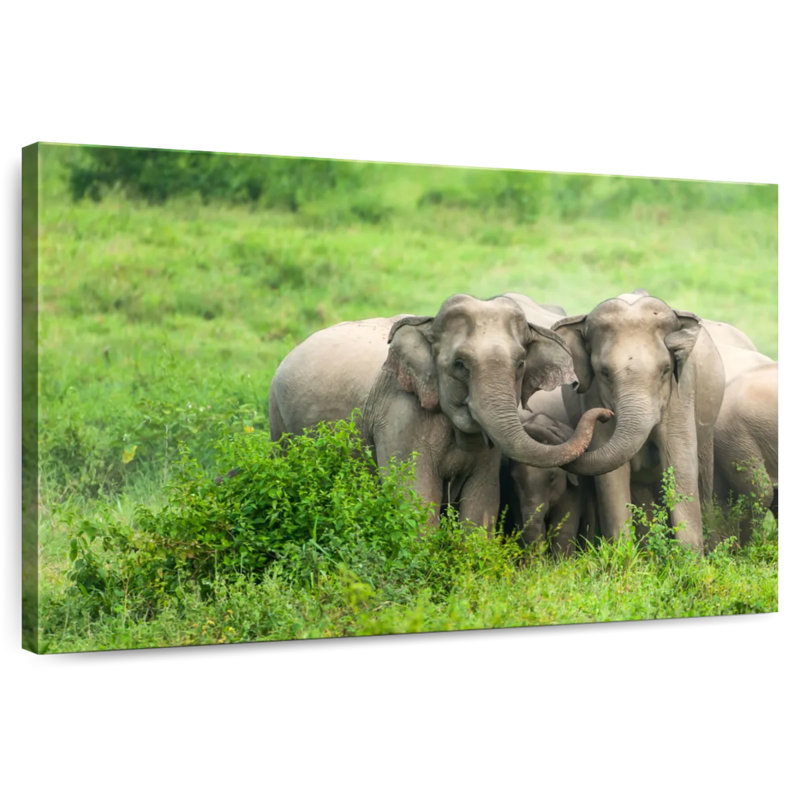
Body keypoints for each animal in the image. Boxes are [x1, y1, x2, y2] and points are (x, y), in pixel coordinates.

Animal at [269, 294, 612, 528]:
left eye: (520, 364)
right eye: (460, 365)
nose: (605, 415)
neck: (429, 323)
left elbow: (481, 499)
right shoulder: (399, 415)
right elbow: (415, 496)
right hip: (277, 418)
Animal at [550, 292, 726, 552]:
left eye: (666, 370)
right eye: (604, 373)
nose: (604, 414)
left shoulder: (681, 393)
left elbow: (680, 461)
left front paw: (688, 558)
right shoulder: (593, 395)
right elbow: (611, 474)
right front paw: (622, 555)